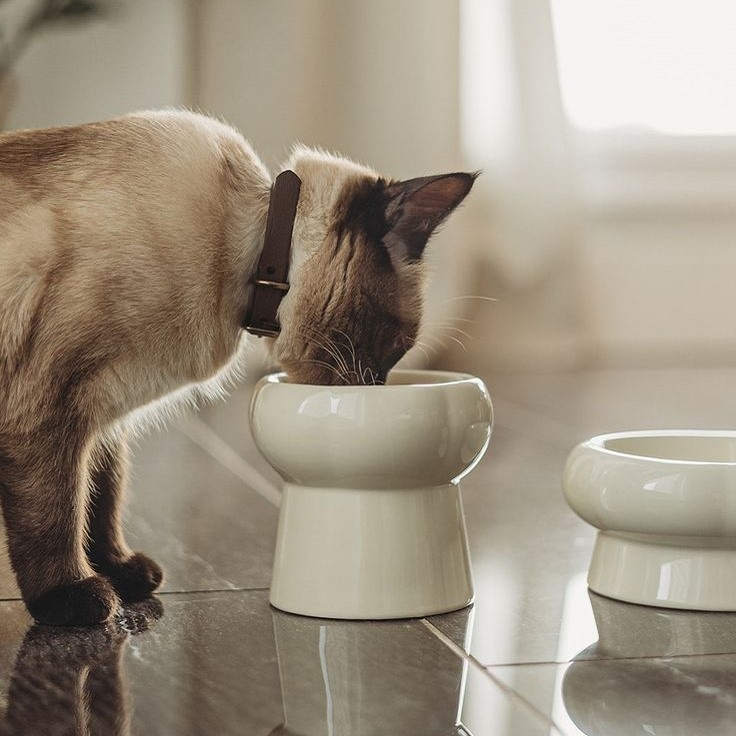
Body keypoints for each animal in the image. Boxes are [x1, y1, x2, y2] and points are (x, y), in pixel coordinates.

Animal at [0, 110, 478, 628]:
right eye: (394, 345)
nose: (375, 385)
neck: (251, 254)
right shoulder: (53, 402)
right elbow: (58, 509)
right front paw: (74, 599)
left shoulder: (105, 415)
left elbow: (102, 498)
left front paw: (121, 572)